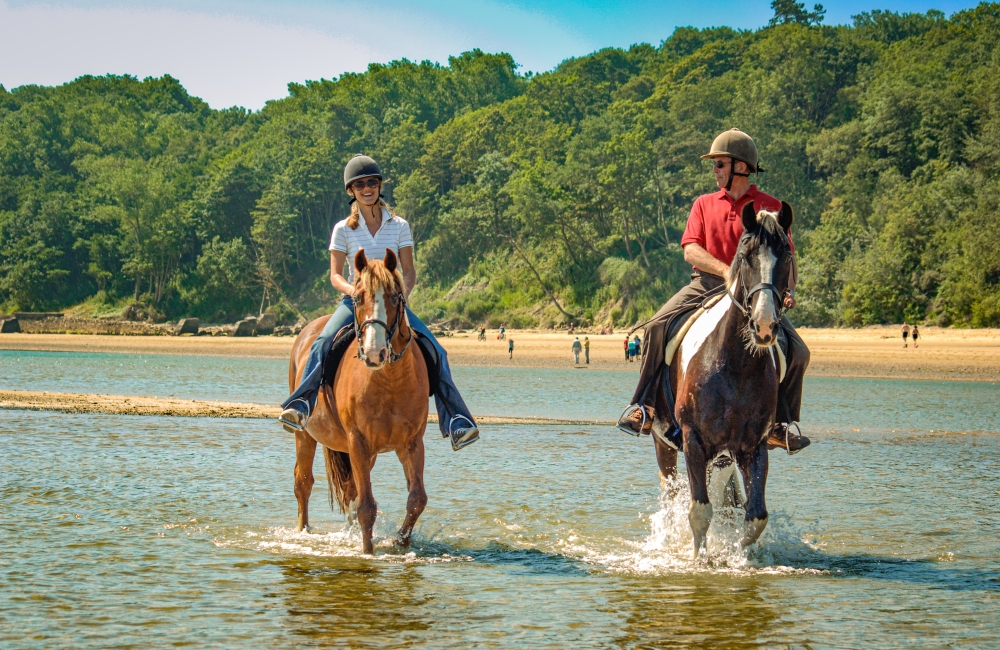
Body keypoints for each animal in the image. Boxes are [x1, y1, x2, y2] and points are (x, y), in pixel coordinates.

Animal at [288, 248, 432, 552]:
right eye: (357, 298)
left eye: (395, 296)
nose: (374, 352)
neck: (389, 382)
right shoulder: (359, 442)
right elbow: (367, 506)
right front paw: (367, 552)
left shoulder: (411, 443)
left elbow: (416, 500)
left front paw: (401, 543)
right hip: (305, 435)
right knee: (303, 483)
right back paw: (303, 532)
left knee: (350, 491)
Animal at [652, 200, 792, 556]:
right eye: (746, 256)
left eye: (786, 256)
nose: (764, 325)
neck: (736, 367)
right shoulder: (693, 440)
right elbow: (699, 511)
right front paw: (699, 560)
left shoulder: (753, 448)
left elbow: (754, 518)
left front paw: (737, 556)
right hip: (664, 441)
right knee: (670, 496)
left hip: (722, 458)